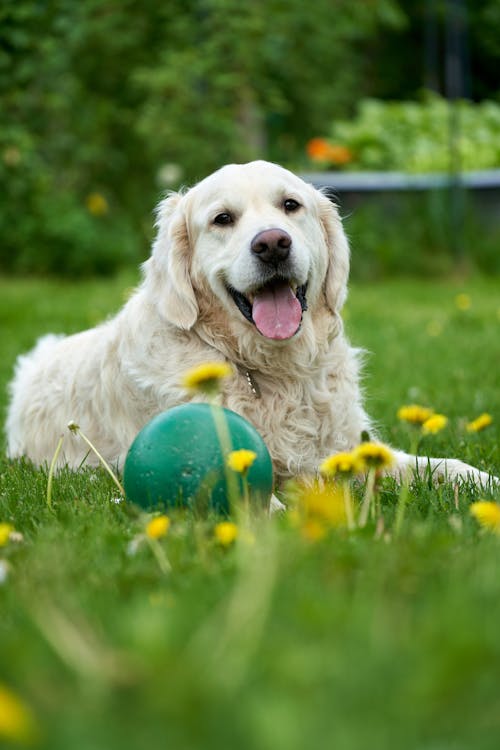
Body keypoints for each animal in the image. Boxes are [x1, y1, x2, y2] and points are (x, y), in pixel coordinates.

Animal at [4, 159, 496, 490]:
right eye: (222, 219)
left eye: (290, 205)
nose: (273, 244)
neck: (273, 372)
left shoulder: (347, 450)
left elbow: (444, 466)